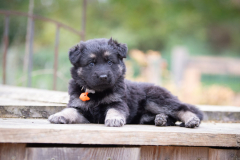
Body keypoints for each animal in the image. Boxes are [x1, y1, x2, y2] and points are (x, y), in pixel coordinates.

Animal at [48, 37, 202, 127]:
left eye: (110, 62)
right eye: (91, 63)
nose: (103, 76)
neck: (97, 93)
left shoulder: (118, 102)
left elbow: (114, 110)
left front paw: (114, 119)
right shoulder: (80, 108)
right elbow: (70, 110)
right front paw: (59, 115)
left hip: (156, 99)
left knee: (182, 108)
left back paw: (191, 120)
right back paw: (161, 119)